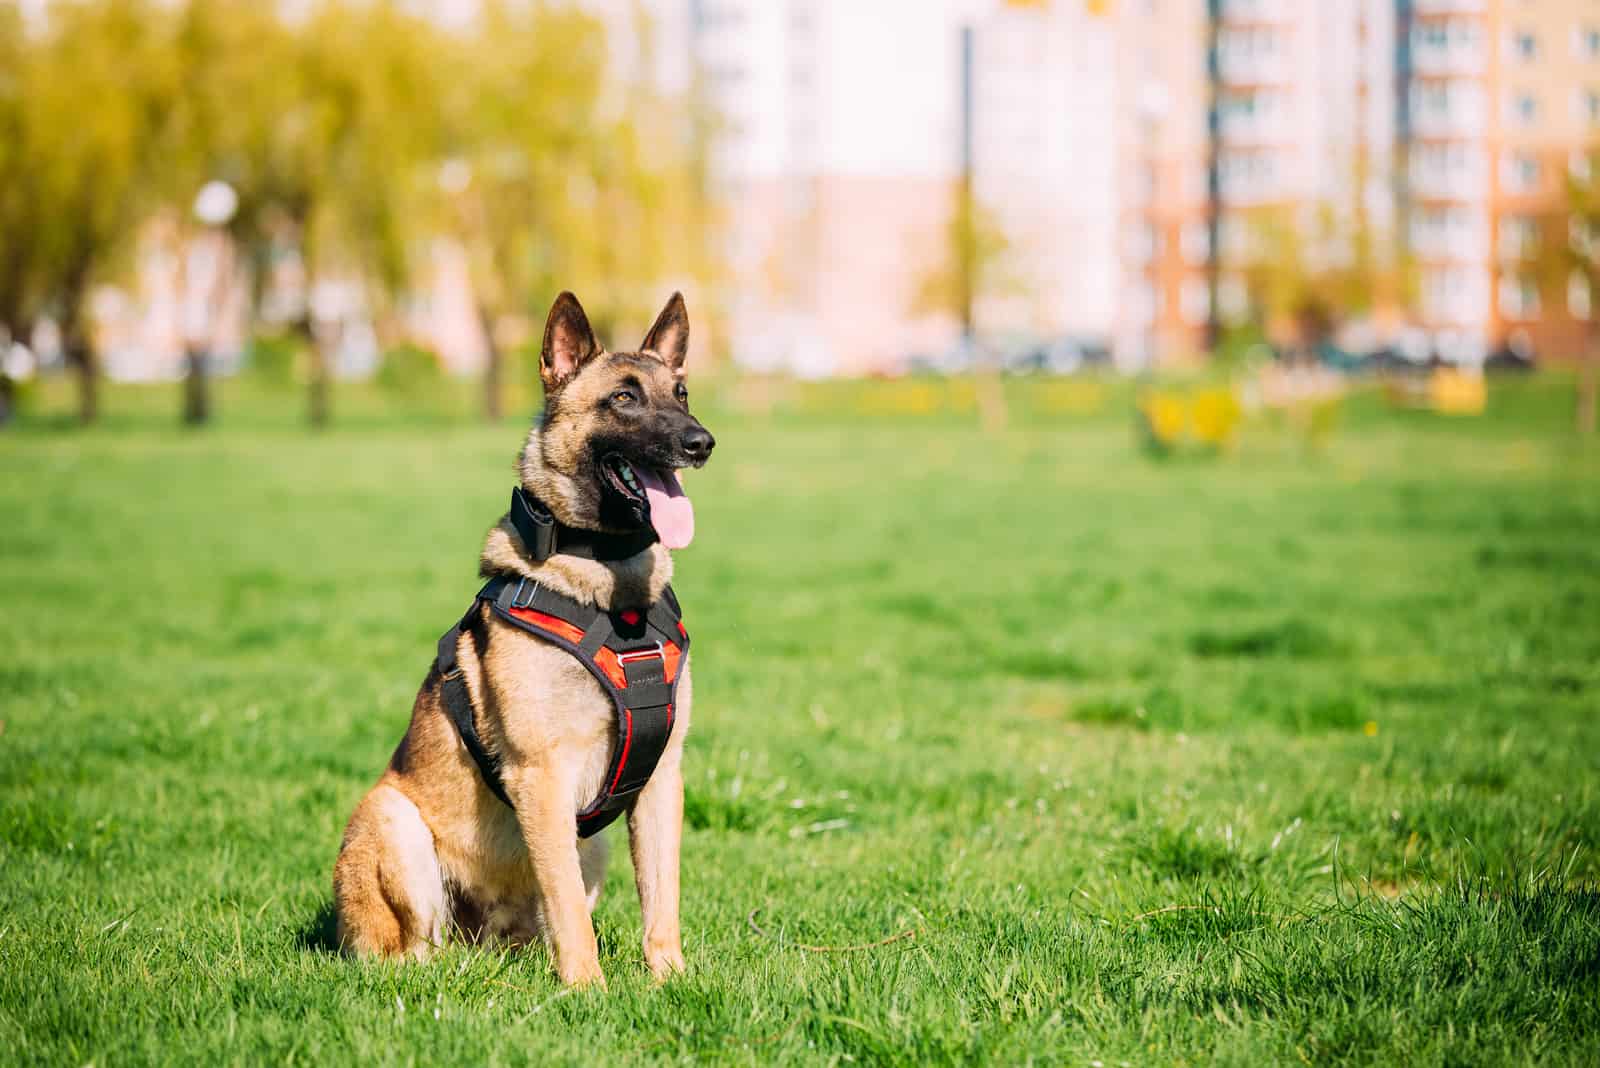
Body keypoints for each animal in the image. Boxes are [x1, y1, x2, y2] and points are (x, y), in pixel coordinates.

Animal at [331, 289, 713, 984]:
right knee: (410, 954)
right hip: (395, 823)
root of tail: (478, 941)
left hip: (592, 845)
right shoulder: (542, 777)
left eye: (681, 393)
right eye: (624, 398)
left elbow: (660, 901)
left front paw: (669, 978)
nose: (702, 442)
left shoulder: (661, 780)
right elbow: (569, 910)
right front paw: (588, 989)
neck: (611, 592)